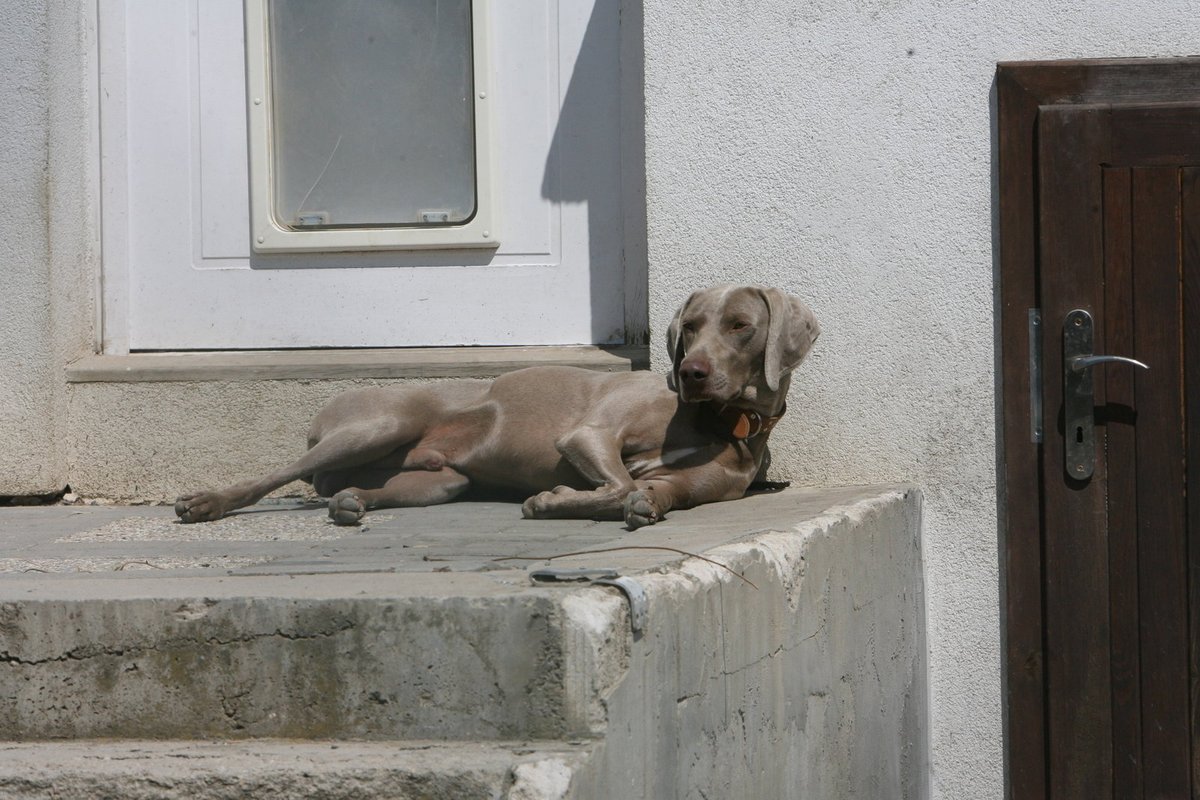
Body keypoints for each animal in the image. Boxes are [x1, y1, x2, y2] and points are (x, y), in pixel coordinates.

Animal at [175, 284, 816, 527]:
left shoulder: (687, 485)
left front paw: (633, 502)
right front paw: (553, 500)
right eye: (690, 327)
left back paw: (353, 501)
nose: (690, 373)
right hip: (381, 422)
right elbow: (611, 482)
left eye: (740, 325)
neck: (720, 423)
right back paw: (207, 502)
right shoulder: (587, 435)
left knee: (363, 489)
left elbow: (646, 492)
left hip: (440, 480)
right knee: (275, 476)